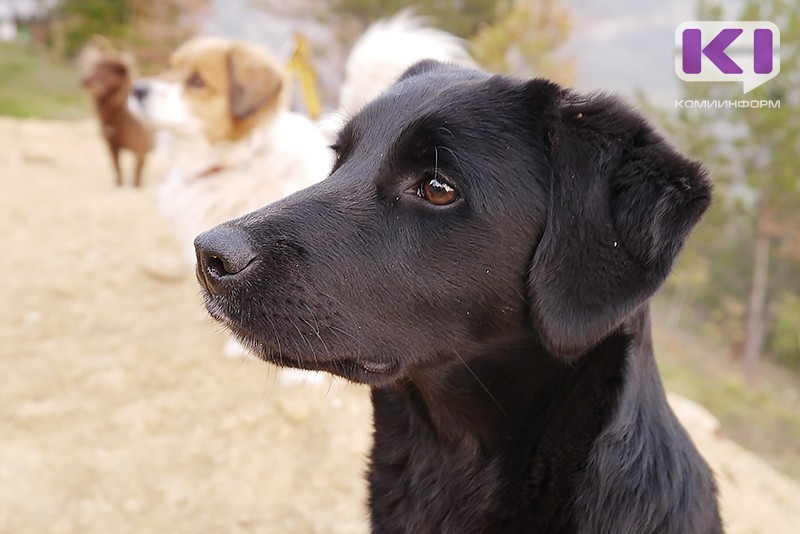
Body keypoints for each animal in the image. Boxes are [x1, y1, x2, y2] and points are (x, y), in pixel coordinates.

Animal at [81, 44, 155, 191]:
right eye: (95, 67)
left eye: (109, 71)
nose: (85, 81)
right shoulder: (112, 144)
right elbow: (117, 167)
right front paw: (118, 185)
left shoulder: (141, 148)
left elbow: (137, 172)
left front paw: (136, 187)